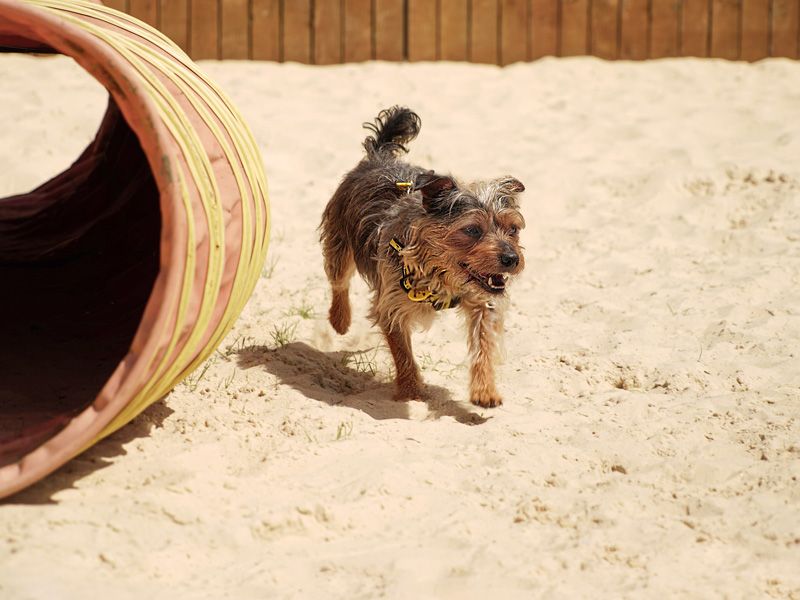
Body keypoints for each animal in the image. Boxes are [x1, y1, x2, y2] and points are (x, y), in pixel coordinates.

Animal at [318, 108, 524, 408]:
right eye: (472, 230)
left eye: (513, 229)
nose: (511, 258)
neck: (439, 271)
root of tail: (378, 156)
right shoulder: (391, 304)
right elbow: (402, 351)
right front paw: (411, 391)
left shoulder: (482, 302)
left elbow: (483, 345)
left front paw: (484, 390)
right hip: (339, 242)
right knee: (339, 280)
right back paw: (340, 319)